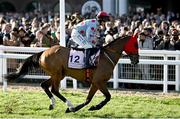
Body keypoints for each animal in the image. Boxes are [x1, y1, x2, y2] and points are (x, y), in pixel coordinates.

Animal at [4, 34, 139, 113]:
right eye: (135, 44)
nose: (136, 60)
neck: (107, 56)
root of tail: (43, 52)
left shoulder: (96, 83)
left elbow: (89, 99)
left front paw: (91, 107)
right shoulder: (98, 81)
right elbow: (107, 97)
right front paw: (89, 107)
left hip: (58, 74)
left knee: (44, 85)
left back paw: (53, 104)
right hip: (57, 74)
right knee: (54, 90)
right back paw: (70, 105)